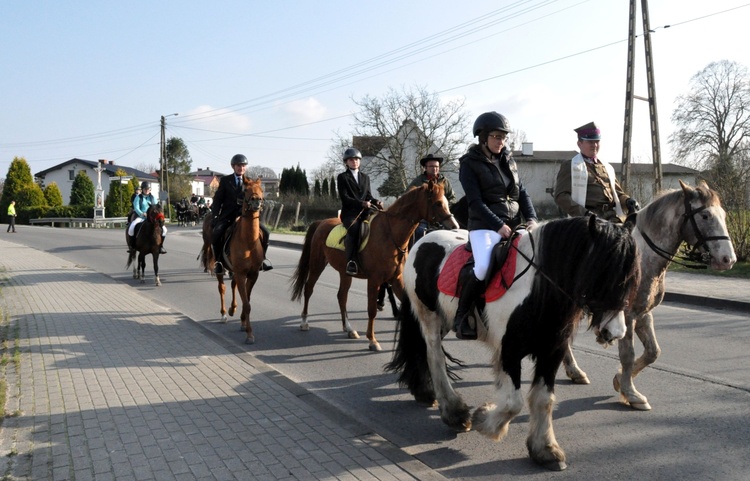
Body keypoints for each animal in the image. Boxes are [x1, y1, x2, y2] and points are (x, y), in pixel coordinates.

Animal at [200, 177, 268, 344]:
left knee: (233, 286)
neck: (248, 241)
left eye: (261, 190)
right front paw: (249, 334)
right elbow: (247, 303)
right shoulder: (241, 273)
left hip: (235, 271)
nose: (257, 201)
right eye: (246, 190)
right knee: (222, 288)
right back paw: (224, 313)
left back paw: (232, 309)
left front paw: (243, 323)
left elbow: (247, 300)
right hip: (222, 269)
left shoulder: (252, 274)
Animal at [290, 180, 458, 348]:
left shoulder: (396, 279)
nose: (454, 226)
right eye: (437, 203)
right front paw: (372, 340)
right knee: (309, 288)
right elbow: (372, 309)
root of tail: (321, 223)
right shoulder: (375, 280)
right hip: (317, 264)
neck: (390, 234)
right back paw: (304, 322)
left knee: (342, 296)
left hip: (345, 273)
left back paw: (349, 329)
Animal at [388, 216, 640, 470]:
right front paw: (483, 418)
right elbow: (513, 403)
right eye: (601, 271)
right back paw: (454, 412)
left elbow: (543, 399)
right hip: (428, 315)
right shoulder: (510, 351)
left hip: (445, 319)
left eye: (631, 277)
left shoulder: (551, 353)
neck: (537, 288)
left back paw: (426, 392)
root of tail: (424, 238)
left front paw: (545, 450)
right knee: (434, 356)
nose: (615, 332)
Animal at [564, 180, 736, 408]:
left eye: (724, 215)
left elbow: (653, 352)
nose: (728, 259)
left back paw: (575, 372)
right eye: (705, 215)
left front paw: (619, 380)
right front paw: (632, 394)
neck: (643, 258)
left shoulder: (644, 313)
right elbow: (628, 354)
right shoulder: (627, 315)